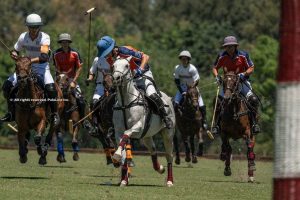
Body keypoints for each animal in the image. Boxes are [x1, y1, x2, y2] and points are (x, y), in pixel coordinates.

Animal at [111, 57, 175, 187]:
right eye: (113, 65)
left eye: (126, 65)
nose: (116, 78)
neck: (125, 103)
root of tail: (168, 98)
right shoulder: (118, 132)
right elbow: (124, 152)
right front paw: (123, 180)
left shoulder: (139, 127)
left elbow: (127, 133)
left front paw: (116, 155)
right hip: (146, 136)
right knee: (153, 150)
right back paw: (160, 168)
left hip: (168, 134)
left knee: (169, 156)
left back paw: (170, 181)